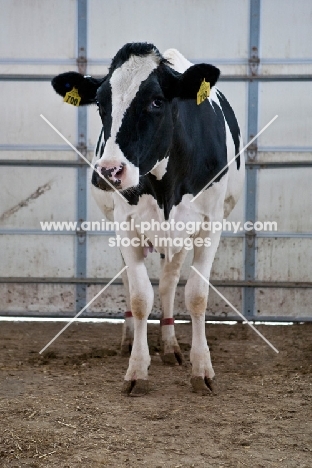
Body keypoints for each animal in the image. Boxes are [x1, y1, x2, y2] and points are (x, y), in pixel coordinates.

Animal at [52, 43, 245, 394]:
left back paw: (170, 344)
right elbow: (141, 295)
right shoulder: (125, 224)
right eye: (100, 103)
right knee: (131, 281)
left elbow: (196, 295)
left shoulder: (211, 224)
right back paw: (130, 339)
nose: (109, 171)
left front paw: (202, 369)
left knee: (169, 281)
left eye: (156, 101)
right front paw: (137, 370)